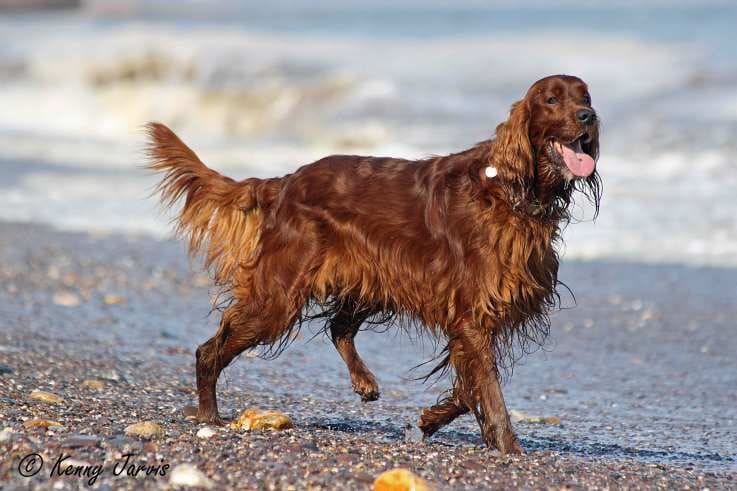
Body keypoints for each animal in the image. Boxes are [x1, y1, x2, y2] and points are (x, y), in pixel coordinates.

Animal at [148, 75, 600, 456]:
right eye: (551, 100)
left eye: (586, 97)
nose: (588, 117)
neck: (511, 189)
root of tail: (287, 182)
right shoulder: (472, 314)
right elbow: (486, 390)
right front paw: (509, 448)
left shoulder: (474, 320)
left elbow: (468, 387)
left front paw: (429, 420)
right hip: (279, 297)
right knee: (210, 350)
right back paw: (209, 415)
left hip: (369, 279)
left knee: (338, 327)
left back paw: (364, 383)